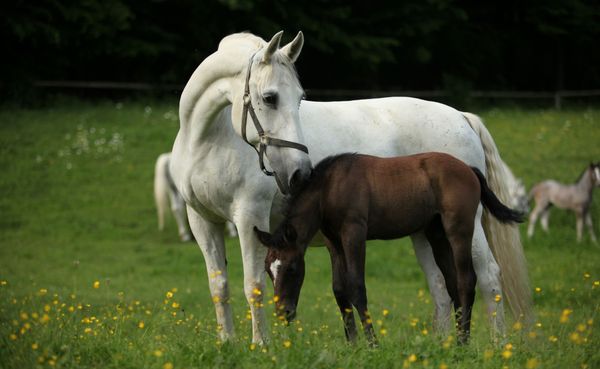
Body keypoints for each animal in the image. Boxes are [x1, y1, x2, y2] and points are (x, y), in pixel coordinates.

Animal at [171, 30, 532, 342]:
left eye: (300, 98)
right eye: (270, 98)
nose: (300, 173)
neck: (209, 139)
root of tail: (462, 117)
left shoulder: (250, 218)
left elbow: (252, 286)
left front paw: (261, 346)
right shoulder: (202, 222)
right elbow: (219, 287)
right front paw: (227, 344)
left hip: (466, 226)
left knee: (488, 277)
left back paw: (498, 346)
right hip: (424, 232)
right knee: (441, 288)